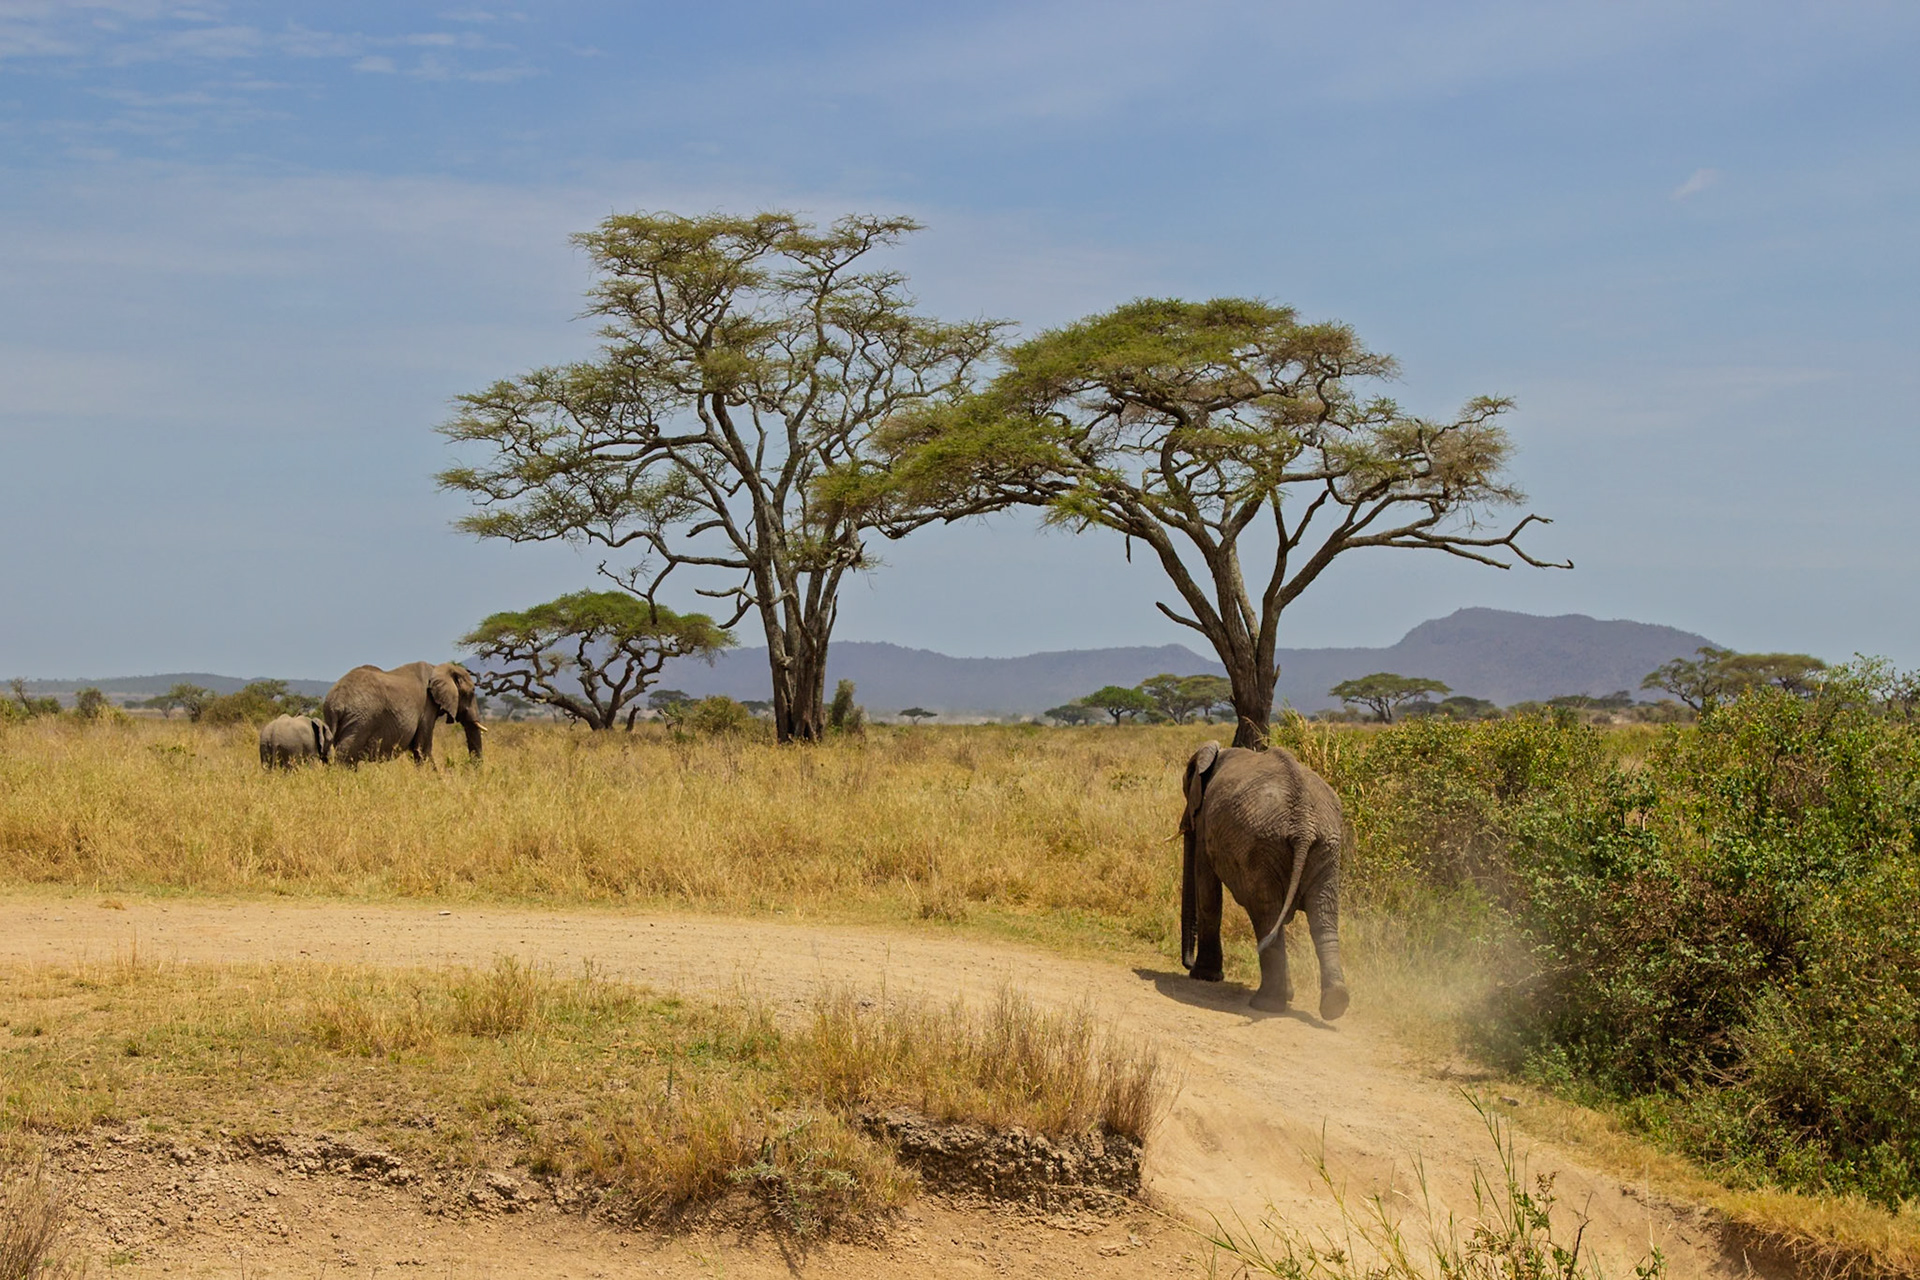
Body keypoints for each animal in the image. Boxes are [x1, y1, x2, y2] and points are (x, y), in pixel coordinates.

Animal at [321, 662, 485, 766]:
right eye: (471, 693)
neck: (438, 668)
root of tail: (334, 702)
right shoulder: (427, 706)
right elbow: (422, 749)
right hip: (360, 720)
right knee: (345, 755)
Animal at [1180, 741, 1350, 1019]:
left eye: (1185, 785)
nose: (1187, 963)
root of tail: (1303, 824)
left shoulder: (1205, 823)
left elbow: (1208, 892)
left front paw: (1204, 976)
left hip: (1263, 848)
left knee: (1266, 913)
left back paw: (1266, 1004)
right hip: (1326, 847)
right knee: (1321, 916)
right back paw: (1334, 1004)